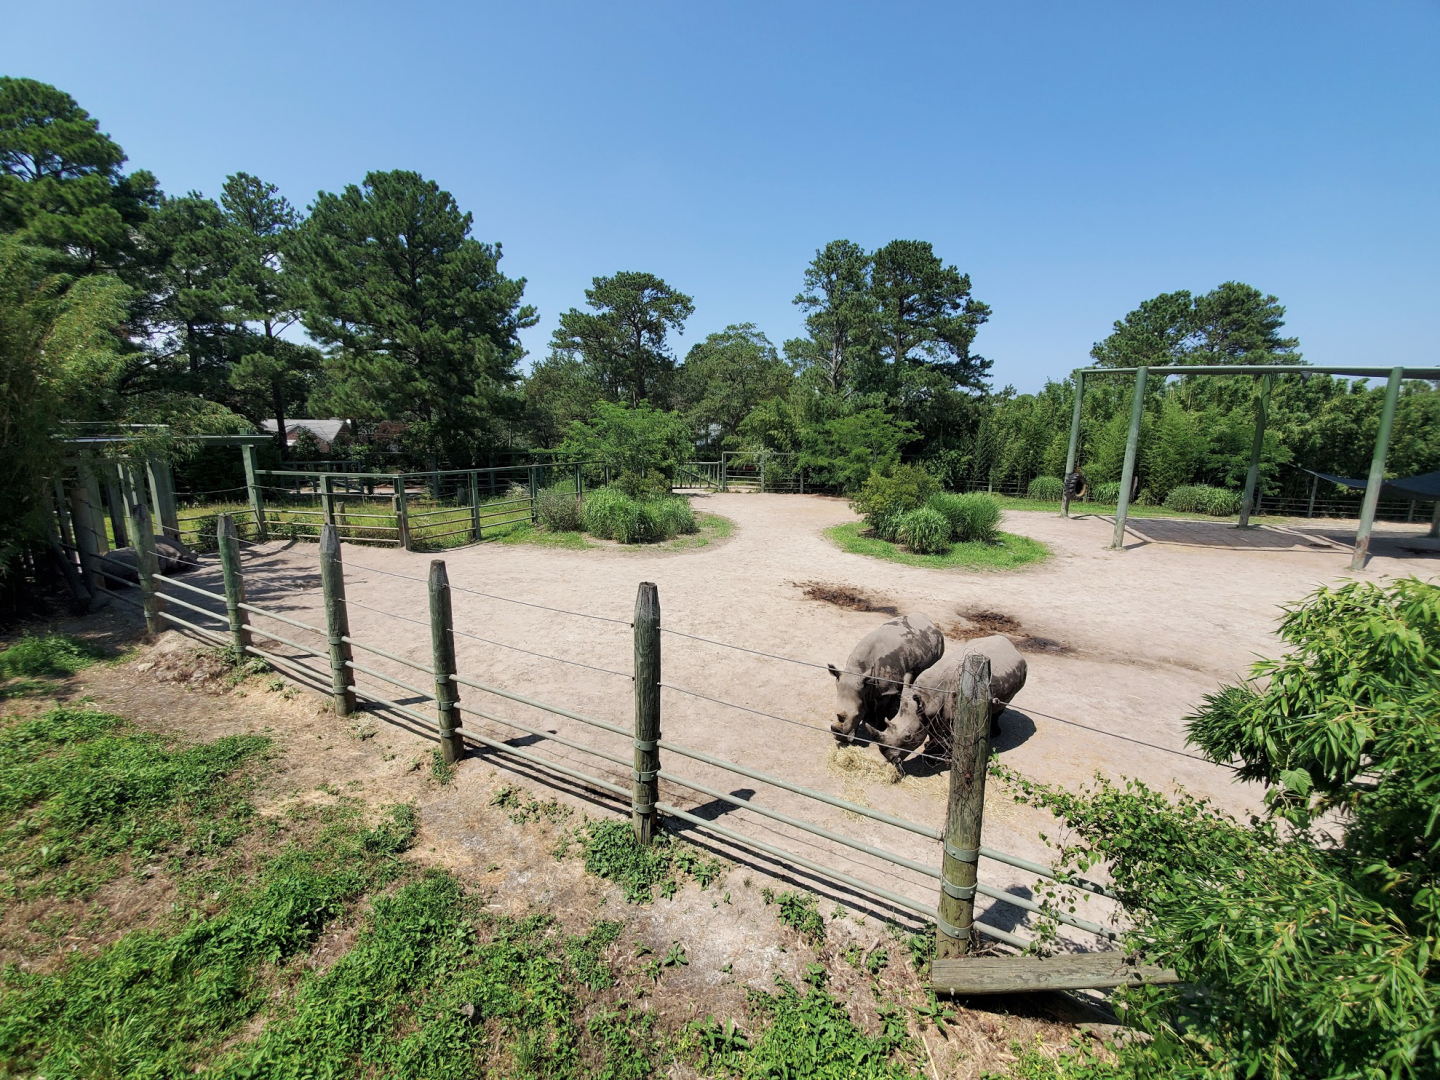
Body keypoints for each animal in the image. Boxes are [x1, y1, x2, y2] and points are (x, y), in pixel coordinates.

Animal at [828, 614, 944, 746]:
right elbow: (868, 702)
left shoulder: (886, 689)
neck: (857, 671)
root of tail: (932, 624)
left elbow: (880, 709)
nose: (839, 738)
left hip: (939, 645)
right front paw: (868, 717)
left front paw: (880, 726)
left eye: (856, 715)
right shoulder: (864, 684)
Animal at [873, 634, 1028, 768]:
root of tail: (1011, 646)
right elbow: (934, 733)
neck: (928, 698)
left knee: (1004, 704)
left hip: (1021, 670)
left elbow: (943, 736)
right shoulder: (929, 714)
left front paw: (936, 758)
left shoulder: (947, 716)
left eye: (908, 737)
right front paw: (929, 751)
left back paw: (995, 733)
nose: (889, 758)